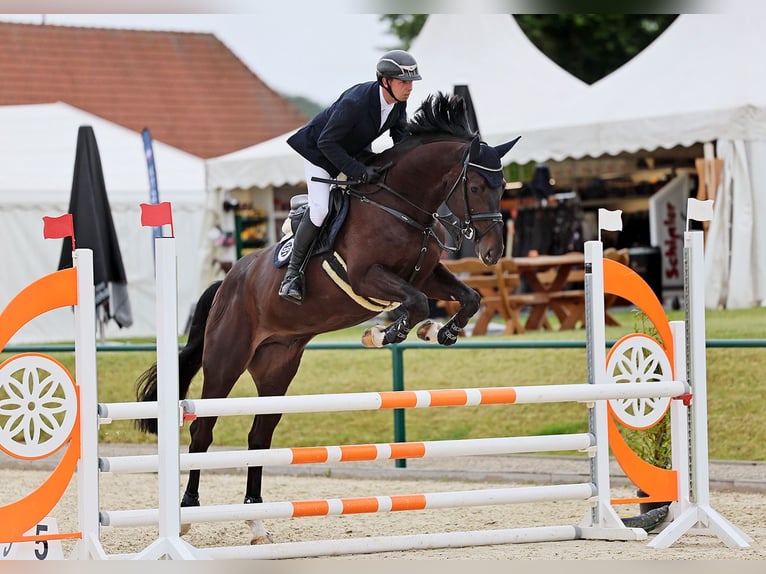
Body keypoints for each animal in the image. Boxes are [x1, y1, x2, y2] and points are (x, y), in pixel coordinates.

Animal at [136, 93, 520, 544]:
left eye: (503, 187)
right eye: (475, 187)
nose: (493, 252)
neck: (400, 206)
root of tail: (227, 281)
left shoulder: (428, 274)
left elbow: (469, 298)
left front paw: (441, 332)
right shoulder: (368, 276)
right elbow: (417, 303)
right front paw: (386, 333)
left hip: (277, 367)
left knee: (259, 435)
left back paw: (257, 521)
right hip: (225, 361)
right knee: (203, 429)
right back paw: (189, 511)